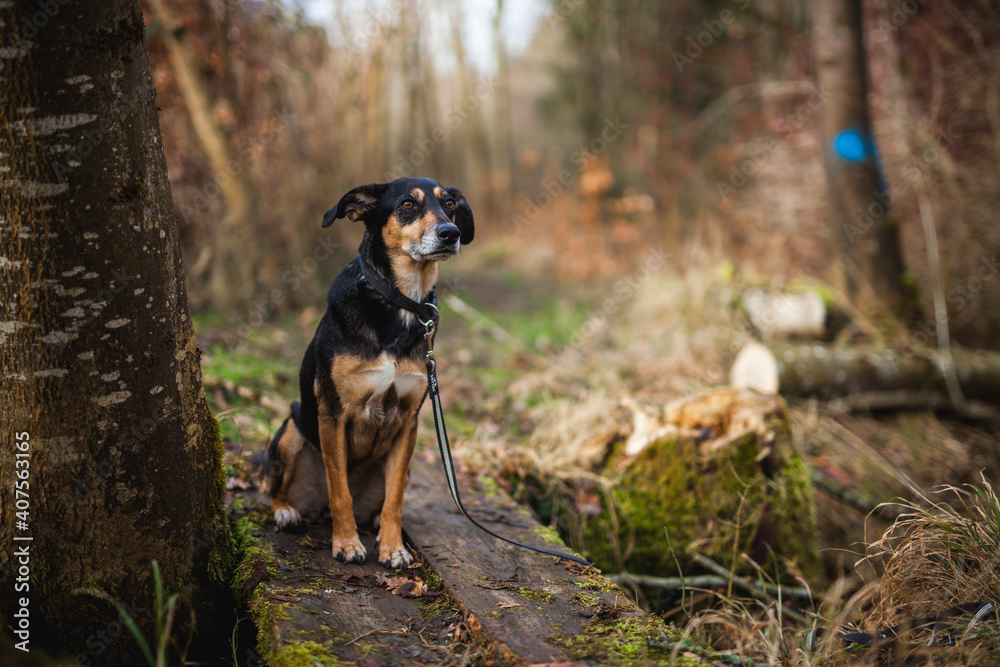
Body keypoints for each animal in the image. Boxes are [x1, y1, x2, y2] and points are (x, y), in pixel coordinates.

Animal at [262, 177, 472, 568]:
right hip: (290, 432)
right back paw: (287, 512)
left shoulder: (408, 420)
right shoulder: (333, 412)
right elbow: (339, 489)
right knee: (273, 488)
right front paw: (346, 544)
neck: (398, 302)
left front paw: (392, 547)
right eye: (407, 205)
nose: (450, 234)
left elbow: (395, 499)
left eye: (449, 204)